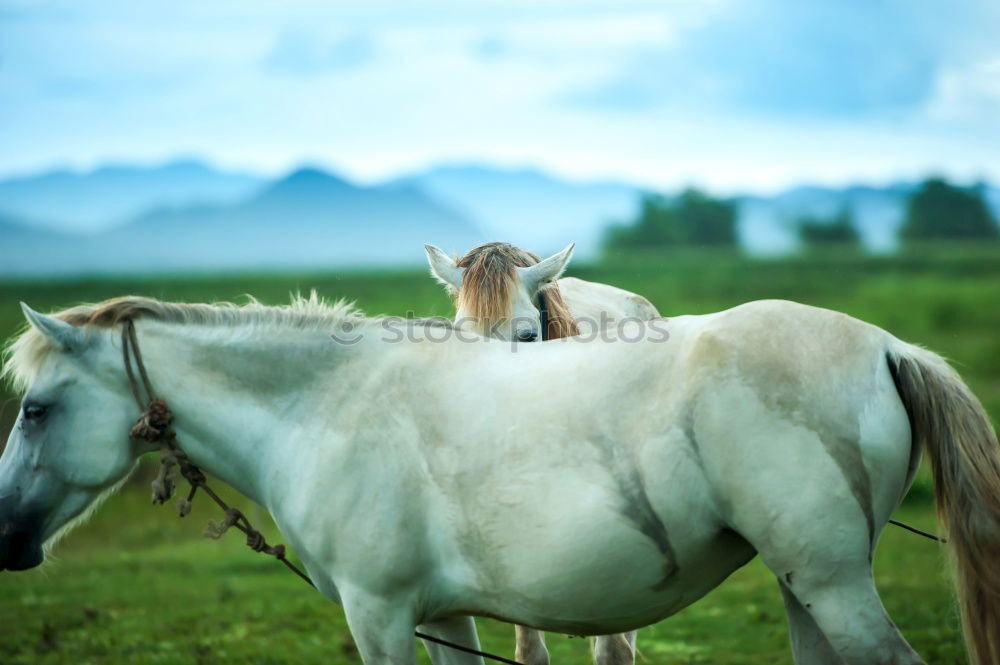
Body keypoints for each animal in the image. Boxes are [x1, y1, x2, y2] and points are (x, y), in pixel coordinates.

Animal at [1, 296, 1000, 664]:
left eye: (35, 409)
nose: (4, 532)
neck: (328, 403)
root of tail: (886, 343)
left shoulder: (380, 614)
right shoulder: (444, 614)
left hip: (832, 586)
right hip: (804, 587)